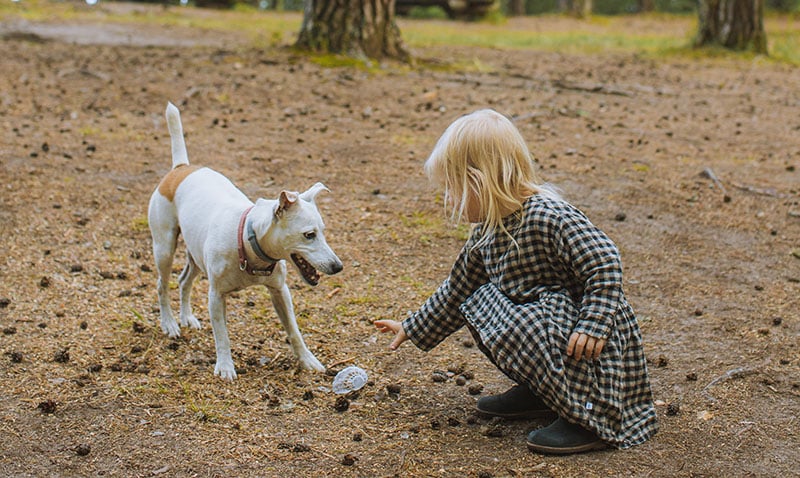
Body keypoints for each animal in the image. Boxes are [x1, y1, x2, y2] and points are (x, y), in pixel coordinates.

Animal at [148, 102, 342, 380]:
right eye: (309, 235)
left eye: (323, 231)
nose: (338, 266)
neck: (248, 244)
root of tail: (181, 168)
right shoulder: (216, 296)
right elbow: (222, 335)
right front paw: (225, 366)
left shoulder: (280, 292)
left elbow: (294, 331)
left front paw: (307, 360)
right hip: (164, 248)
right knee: (162, 285)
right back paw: (170, 324)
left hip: (196, 256)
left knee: (184, 281)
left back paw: (186, 318)